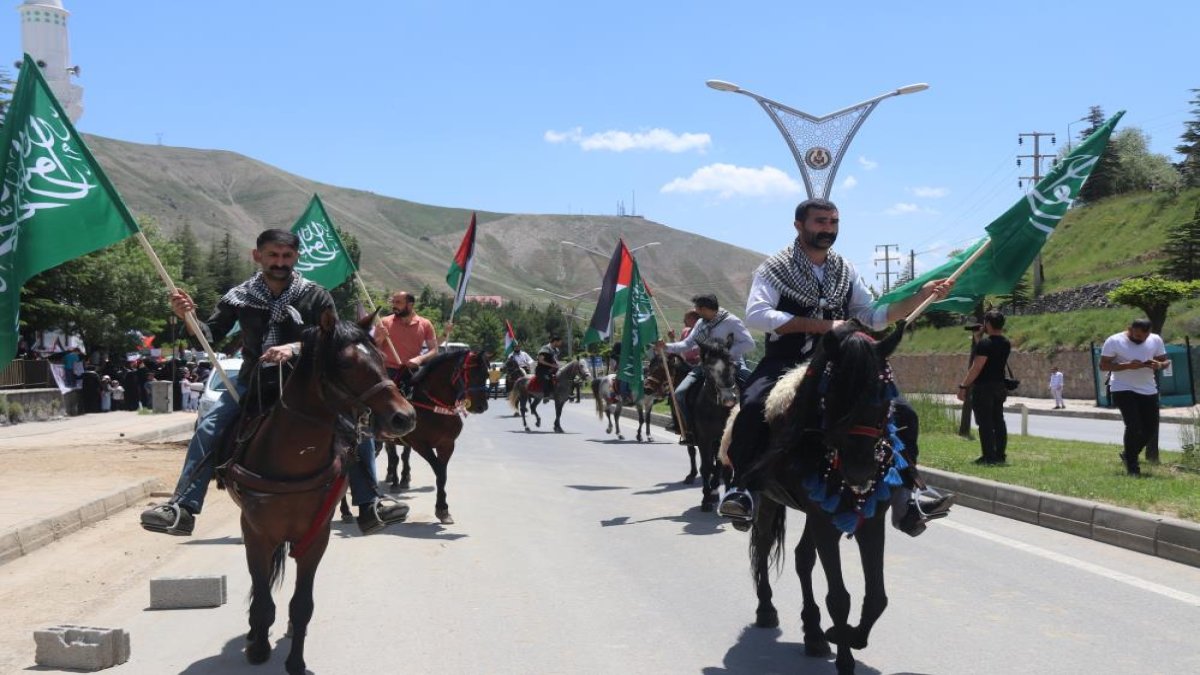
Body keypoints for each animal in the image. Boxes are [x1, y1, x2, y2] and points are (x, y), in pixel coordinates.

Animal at [223, 309, 415, 672]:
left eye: (381, 357)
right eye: (346, 364)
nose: (404, 417)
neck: (292, 460)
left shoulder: (316, 538)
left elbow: (302, 605)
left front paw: (296, 661)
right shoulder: (256, 534)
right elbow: (263, 596)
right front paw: (259, 647)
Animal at [744, 319, 902, 672]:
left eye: (884, 395)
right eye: (832, 393)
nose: (860, 470)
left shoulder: (872, 520)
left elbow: (878, 596)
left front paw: (850, 637)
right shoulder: (824, 523)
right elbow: (839, 597)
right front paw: (844, 658)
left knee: (803, 558)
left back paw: (814, 634)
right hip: (770, 500)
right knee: (764, 545)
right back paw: (766, 609)